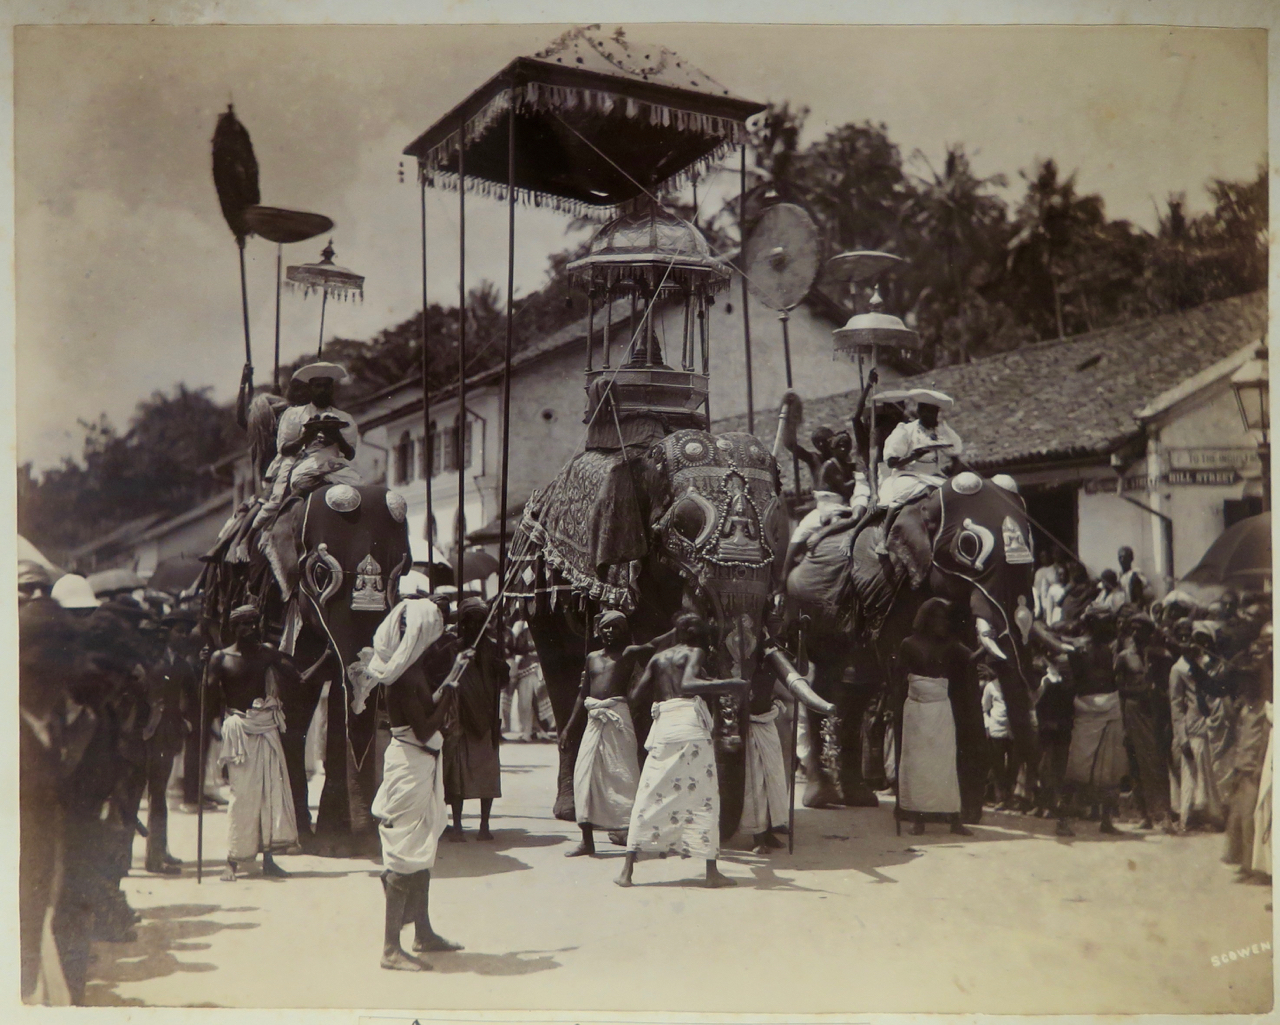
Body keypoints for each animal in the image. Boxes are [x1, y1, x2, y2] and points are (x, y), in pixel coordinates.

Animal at [199, 481, 409, 854]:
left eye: (401, 576)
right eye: (321, 574)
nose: (370, 840)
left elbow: (342, 700)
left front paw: (339, 839)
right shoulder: (282, 610)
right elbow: (294, 702)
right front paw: (307, 839)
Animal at [506, 427, 798, 834]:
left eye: (775, 528)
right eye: (684, 524)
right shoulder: (628, 574)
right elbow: (639, 678)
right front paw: (630, 826)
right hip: (538, 590)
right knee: (562, 674)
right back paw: (569, 811)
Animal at [783, 468, 1044, 818]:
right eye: (969, 546)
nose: (1029, 800)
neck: (924, 504)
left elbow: (959, 668)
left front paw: (963, 814)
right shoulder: (893, 584)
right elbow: (902, 664)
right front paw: (919, 811)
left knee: (855, 688)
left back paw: (858, 798)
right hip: (810, 605)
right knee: (824, 682)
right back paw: (822, 799)